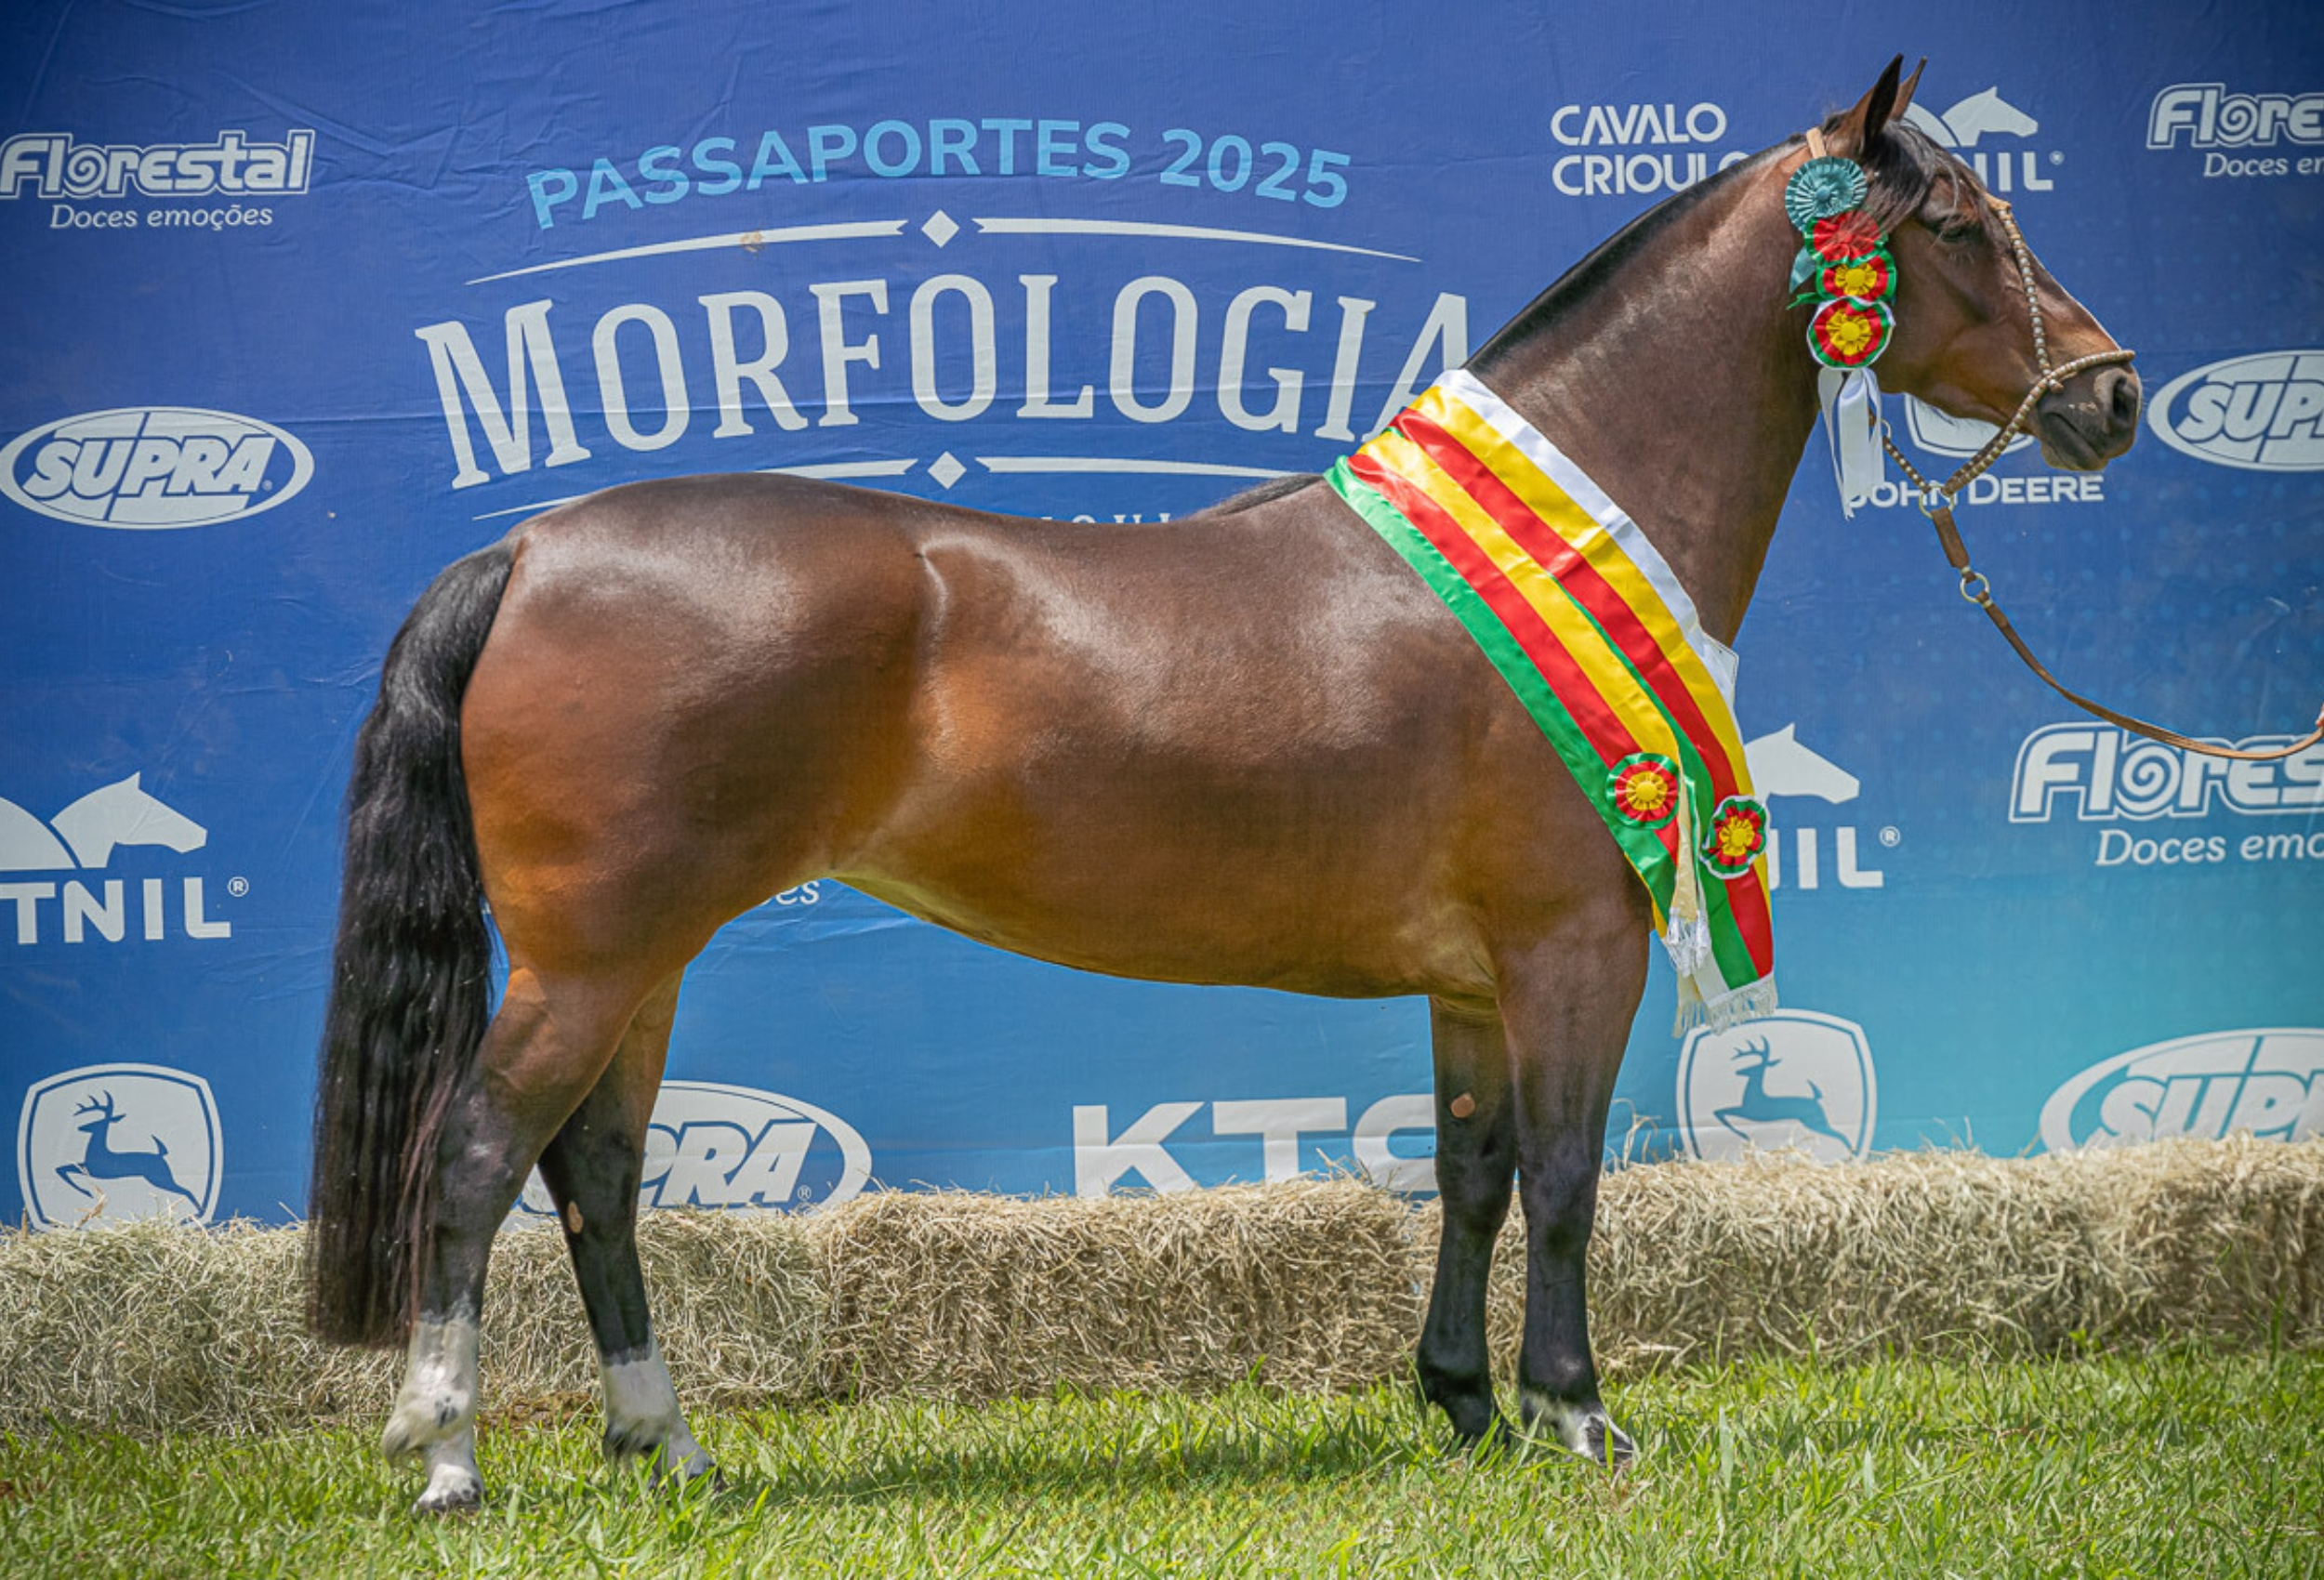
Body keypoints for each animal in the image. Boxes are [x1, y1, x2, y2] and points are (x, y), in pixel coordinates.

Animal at [309, 61, 2138, 1515]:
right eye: (1957, 224)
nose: (2112, 393)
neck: (1558, 540)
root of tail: (534, 548)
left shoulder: (1473, 979)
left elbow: (1473, 1176)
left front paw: (1463, 1405)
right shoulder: (1574, 947)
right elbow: (1565, 1182)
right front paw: (1574, 1414)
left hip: (647, 958)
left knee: (598, 1179)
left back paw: (662, 1446)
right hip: (592, 957)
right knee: (473, 1159)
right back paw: (447, 1454)